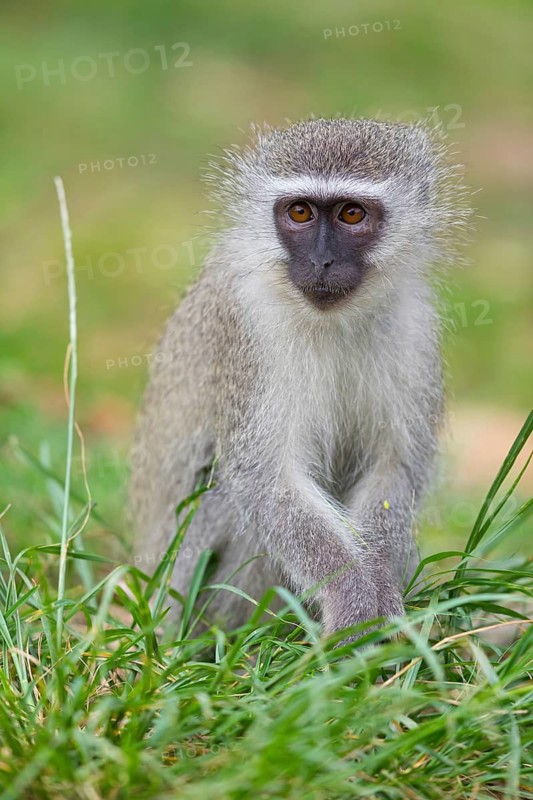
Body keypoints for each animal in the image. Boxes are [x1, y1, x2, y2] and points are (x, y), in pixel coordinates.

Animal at [130, 117, 470, 638]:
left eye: (351, 214)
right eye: (300, 212)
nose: (321, 262)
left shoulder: (413, 326)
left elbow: (396, 465)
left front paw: (379, 586)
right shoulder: (249, 326)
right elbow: (265, 479)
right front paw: (354, 601)